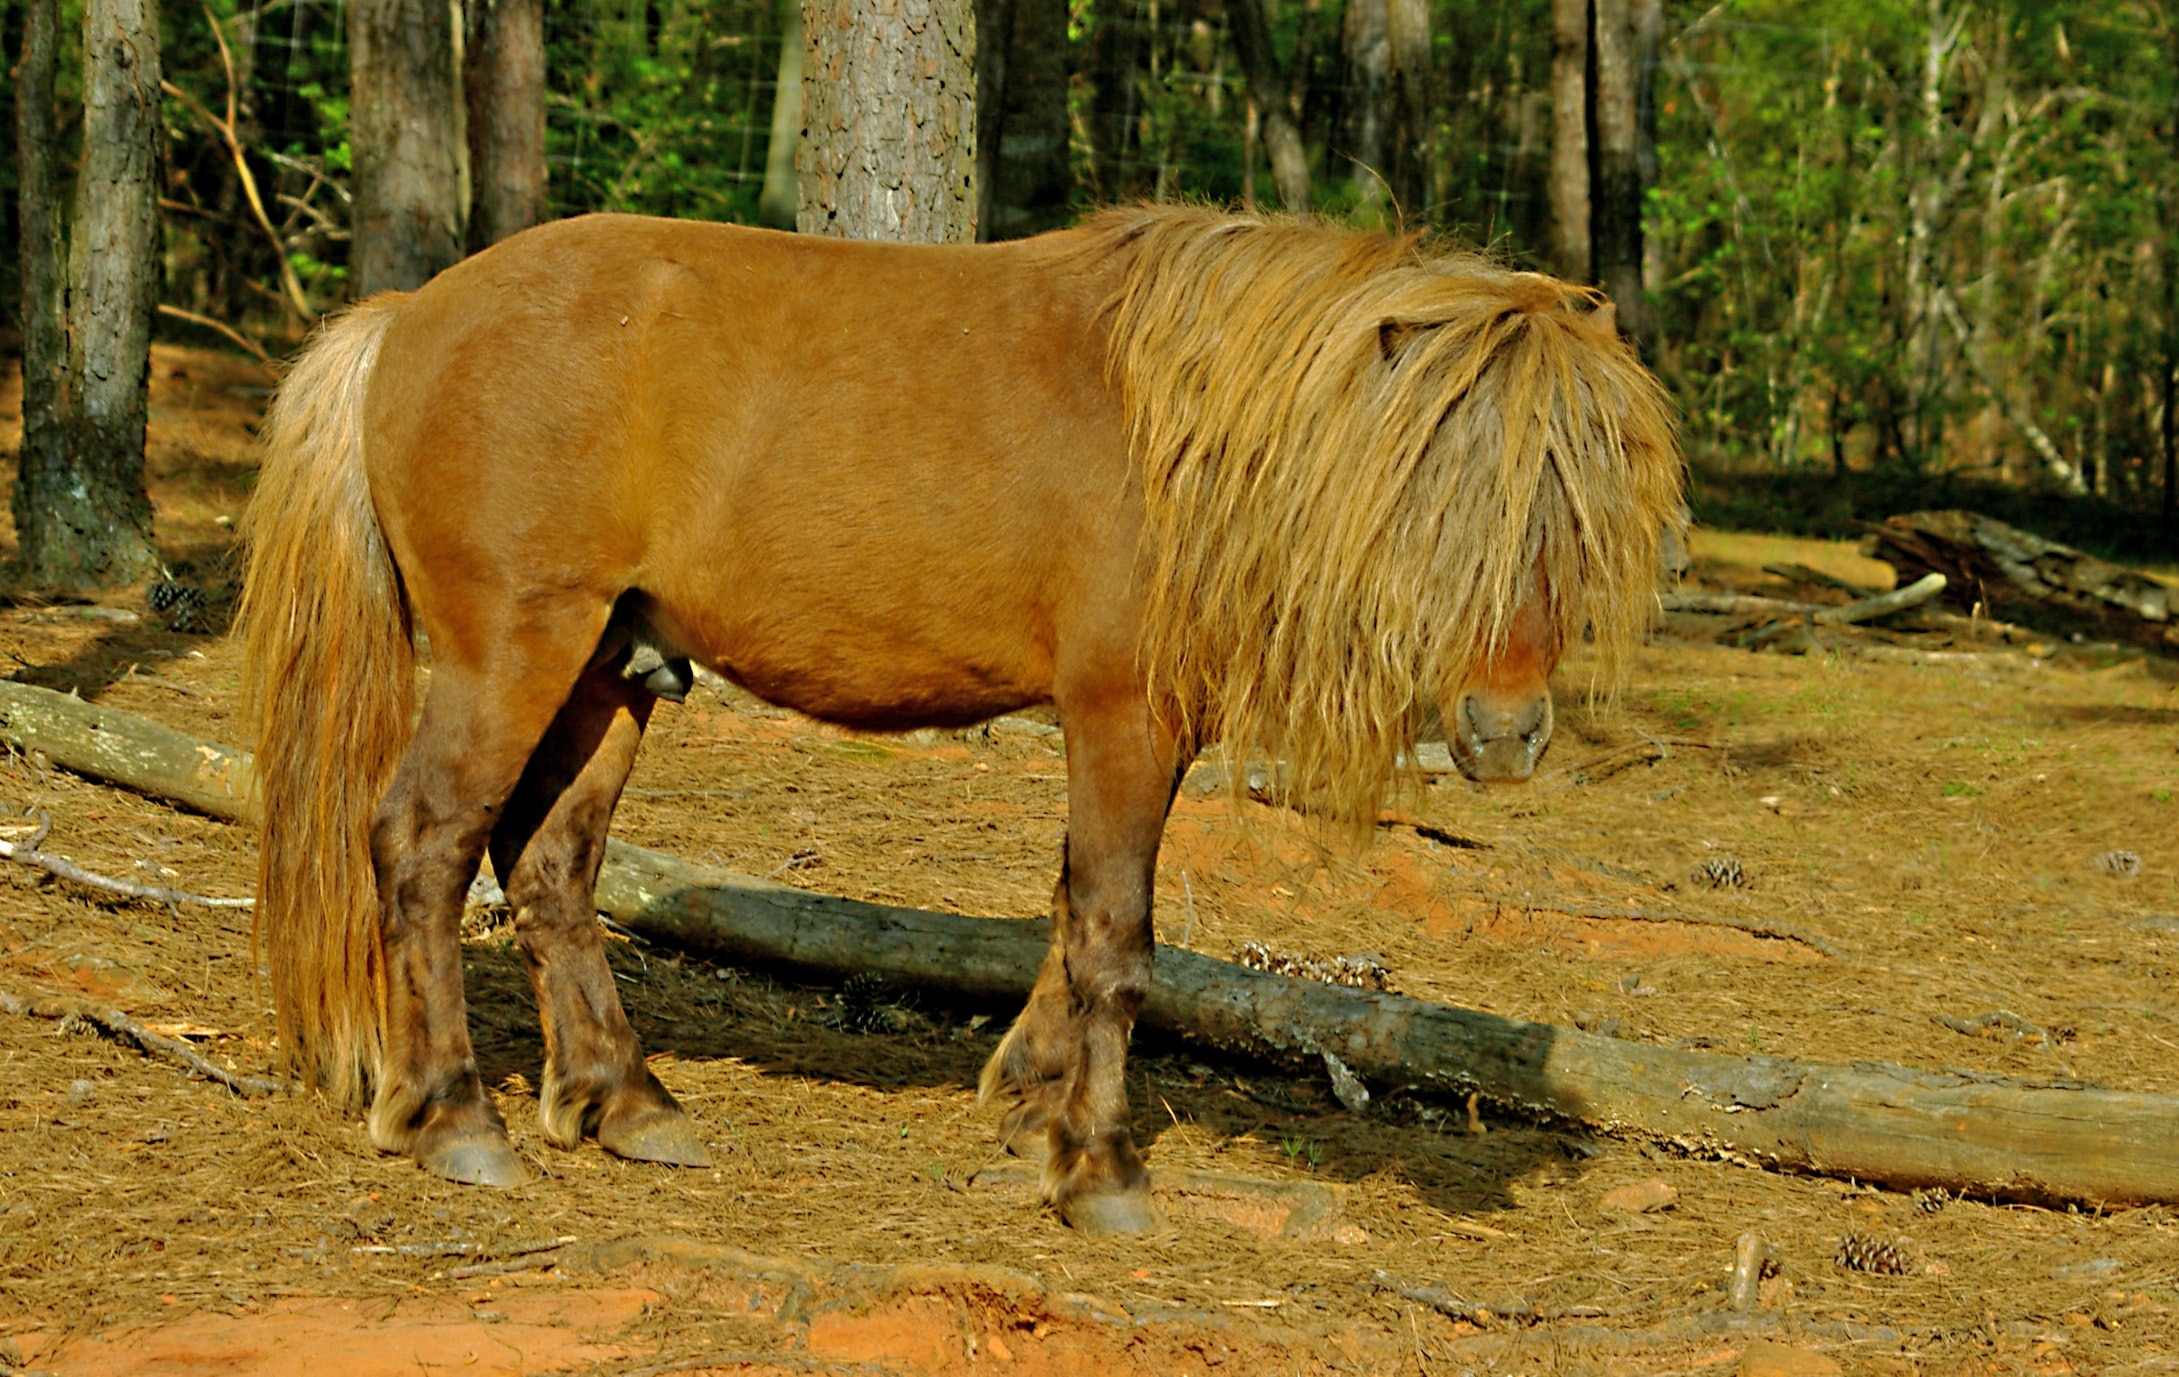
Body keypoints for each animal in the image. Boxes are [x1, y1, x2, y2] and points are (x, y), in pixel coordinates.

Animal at [238, 206, 1682, 1237]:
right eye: (1439, 505)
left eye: (1574, 518)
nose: (1506, 734)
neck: (1180, 436)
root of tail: (410, 316)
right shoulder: (1122, 720)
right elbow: (1113, 942)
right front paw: (1097, 1168)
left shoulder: (1130, 735)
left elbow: (1067, 916)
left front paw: (1028, 1101)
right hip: (510, 655)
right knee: (422, 845)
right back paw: (450, 1117)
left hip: (612, 670)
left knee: (547, 869)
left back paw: (623, 1101)